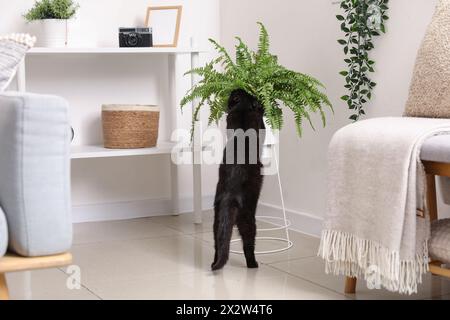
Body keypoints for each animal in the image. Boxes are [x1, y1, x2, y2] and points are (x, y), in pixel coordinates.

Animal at [212, 89, 266, 270]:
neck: (242, 108)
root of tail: (230, 196)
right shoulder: (258, 122)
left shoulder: (230, 118)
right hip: (248, 217)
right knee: (248, 244)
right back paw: (253, 264)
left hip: (217, 220)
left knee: (219, 242)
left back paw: (214, 263)